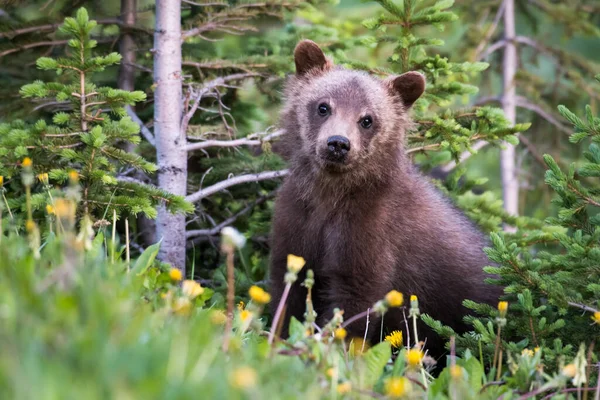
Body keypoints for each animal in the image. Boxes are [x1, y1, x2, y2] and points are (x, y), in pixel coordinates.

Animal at [268, 40, 502, 360]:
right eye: (323, 106)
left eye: (367, 119)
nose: (338, 143)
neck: (331, 195)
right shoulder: (297, 220)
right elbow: (288, 287)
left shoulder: (371, 233)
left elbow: (355, 302)